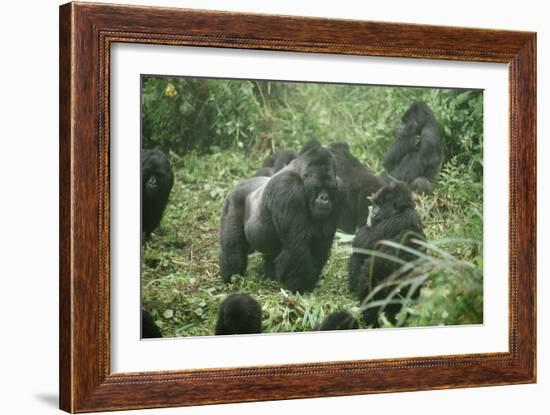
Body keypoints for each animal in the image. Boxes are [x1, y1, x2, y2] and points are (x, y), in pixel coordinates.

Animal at [220, 141, 344, 294]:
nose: (325, 199)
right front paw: (301, 286)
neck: (301, 178)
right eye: (317, 187)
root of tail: (241, 183)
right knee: (233, 247)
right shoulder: (286, 188)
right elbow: (296, 246)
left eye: (329, 188)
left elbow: (320, 244)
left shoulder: (340, 191)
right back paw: (232, 278)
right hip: (233, 200)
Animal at [350, 182, 426, 328]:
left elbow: (362, 241)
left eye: (379, 205)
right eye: (374, 204)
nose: (373, 211)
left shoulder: (393, 222)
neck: (403, 209)